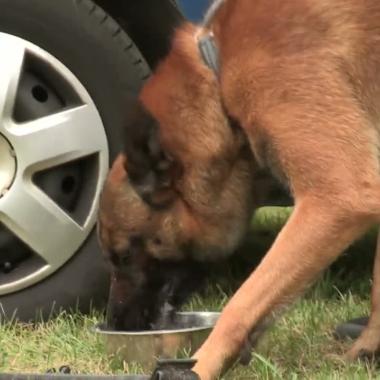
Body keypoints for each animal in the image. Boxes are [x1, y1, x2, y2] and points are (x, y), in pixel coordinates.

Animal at [100, 0, 380, 378]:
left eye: (125, 256)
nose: (115, 322)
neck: (216, 78)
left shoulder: (337, 196)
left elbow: (242, 302)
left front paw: (201, 364)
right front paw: (367, 347)